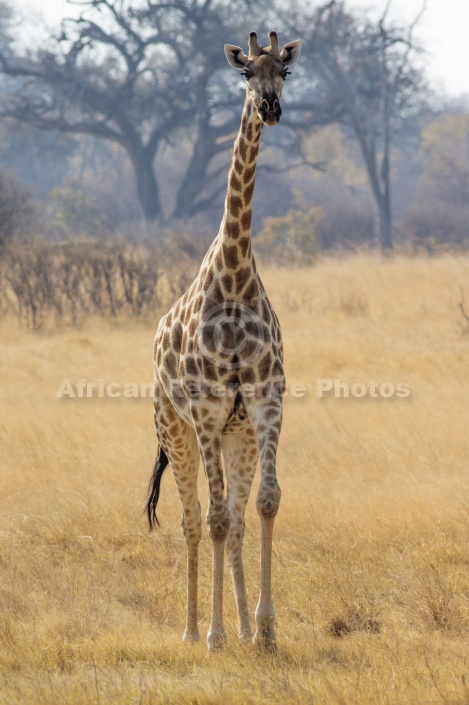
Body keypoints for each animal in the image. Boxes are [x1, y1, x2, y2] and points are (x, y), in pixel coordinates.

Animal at [145, 31, 300, 648]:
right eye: (244, 74)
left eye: (286, 70)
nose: (271, 108)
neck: (234, 278)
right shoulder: (207, 411)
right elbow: (208, 521)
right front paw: (213, 636)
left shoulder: (264, 404)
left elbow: (264, 504)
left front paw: (265, 630)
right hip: (175, 429)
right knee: (192, 521)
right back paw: (193, 633)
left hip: (237, 437)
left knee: (232, 520)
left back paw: (239, 627)